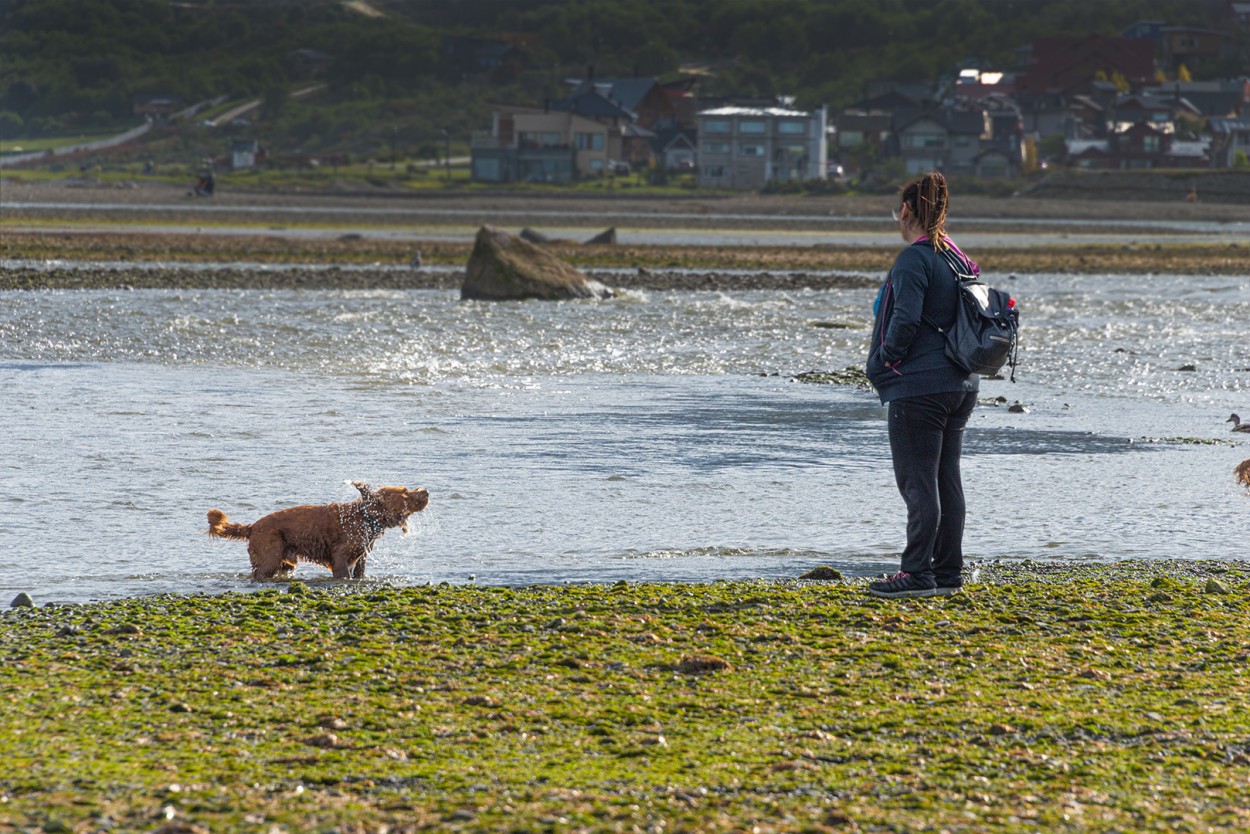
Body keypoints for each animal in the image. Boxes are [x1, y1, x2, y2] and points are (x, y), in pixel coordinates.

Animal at [207, 482, 432, 580]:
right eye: (405, 493)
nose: (426, 491)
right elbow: (342, 571)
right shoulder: (341, 554)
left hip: (284, 558)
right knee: (262, 571)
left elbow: (360, 571)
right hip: (269, 552)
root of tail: (252, 526)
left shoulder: (361, 554)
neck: (366, 518)